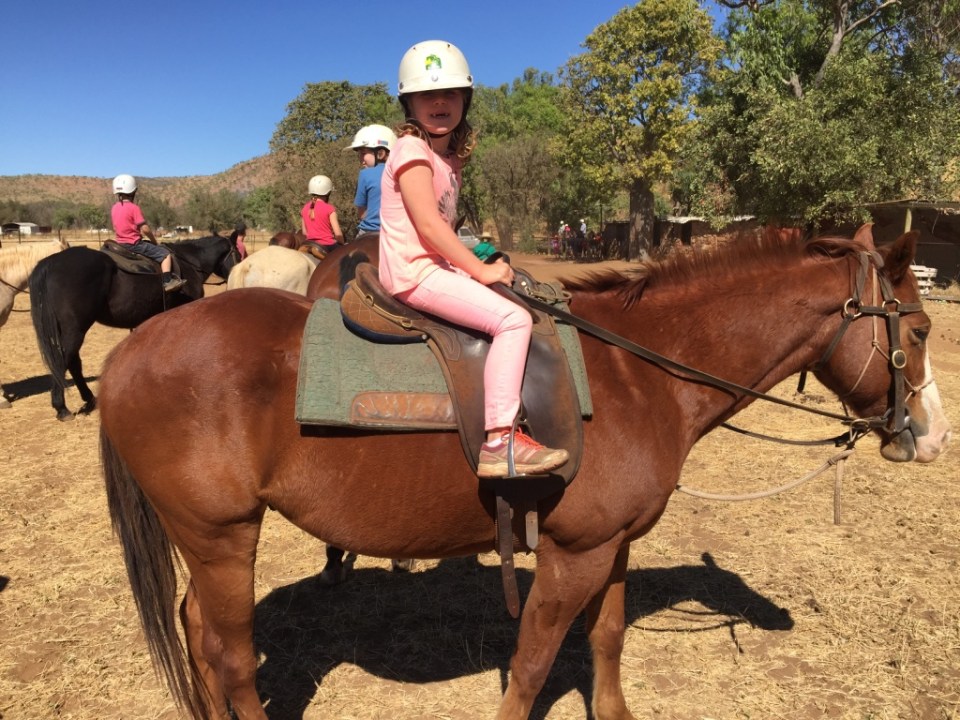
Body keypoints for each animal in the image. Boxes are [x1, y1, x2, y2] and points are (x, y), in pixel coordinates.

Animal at [29, 234, 240, 420]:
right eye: (238, 253)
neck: (189, 262)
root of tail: (50, 263)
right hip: (74, 330)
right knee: (64, 361)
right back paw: (62, 408)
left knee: (72, 363)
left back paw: (88, 400)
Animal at [98, 225, 950, 720]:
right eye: (918, 329)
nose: (935, 437)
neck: (638, 374)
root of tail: (130, 353)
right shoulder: (571, 555)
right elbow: (534, 664)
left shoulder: (613, 545)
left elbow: (606, 638)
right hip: (221, 537)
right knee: (231, 655)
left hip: (208, 543)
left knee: (198, 633)